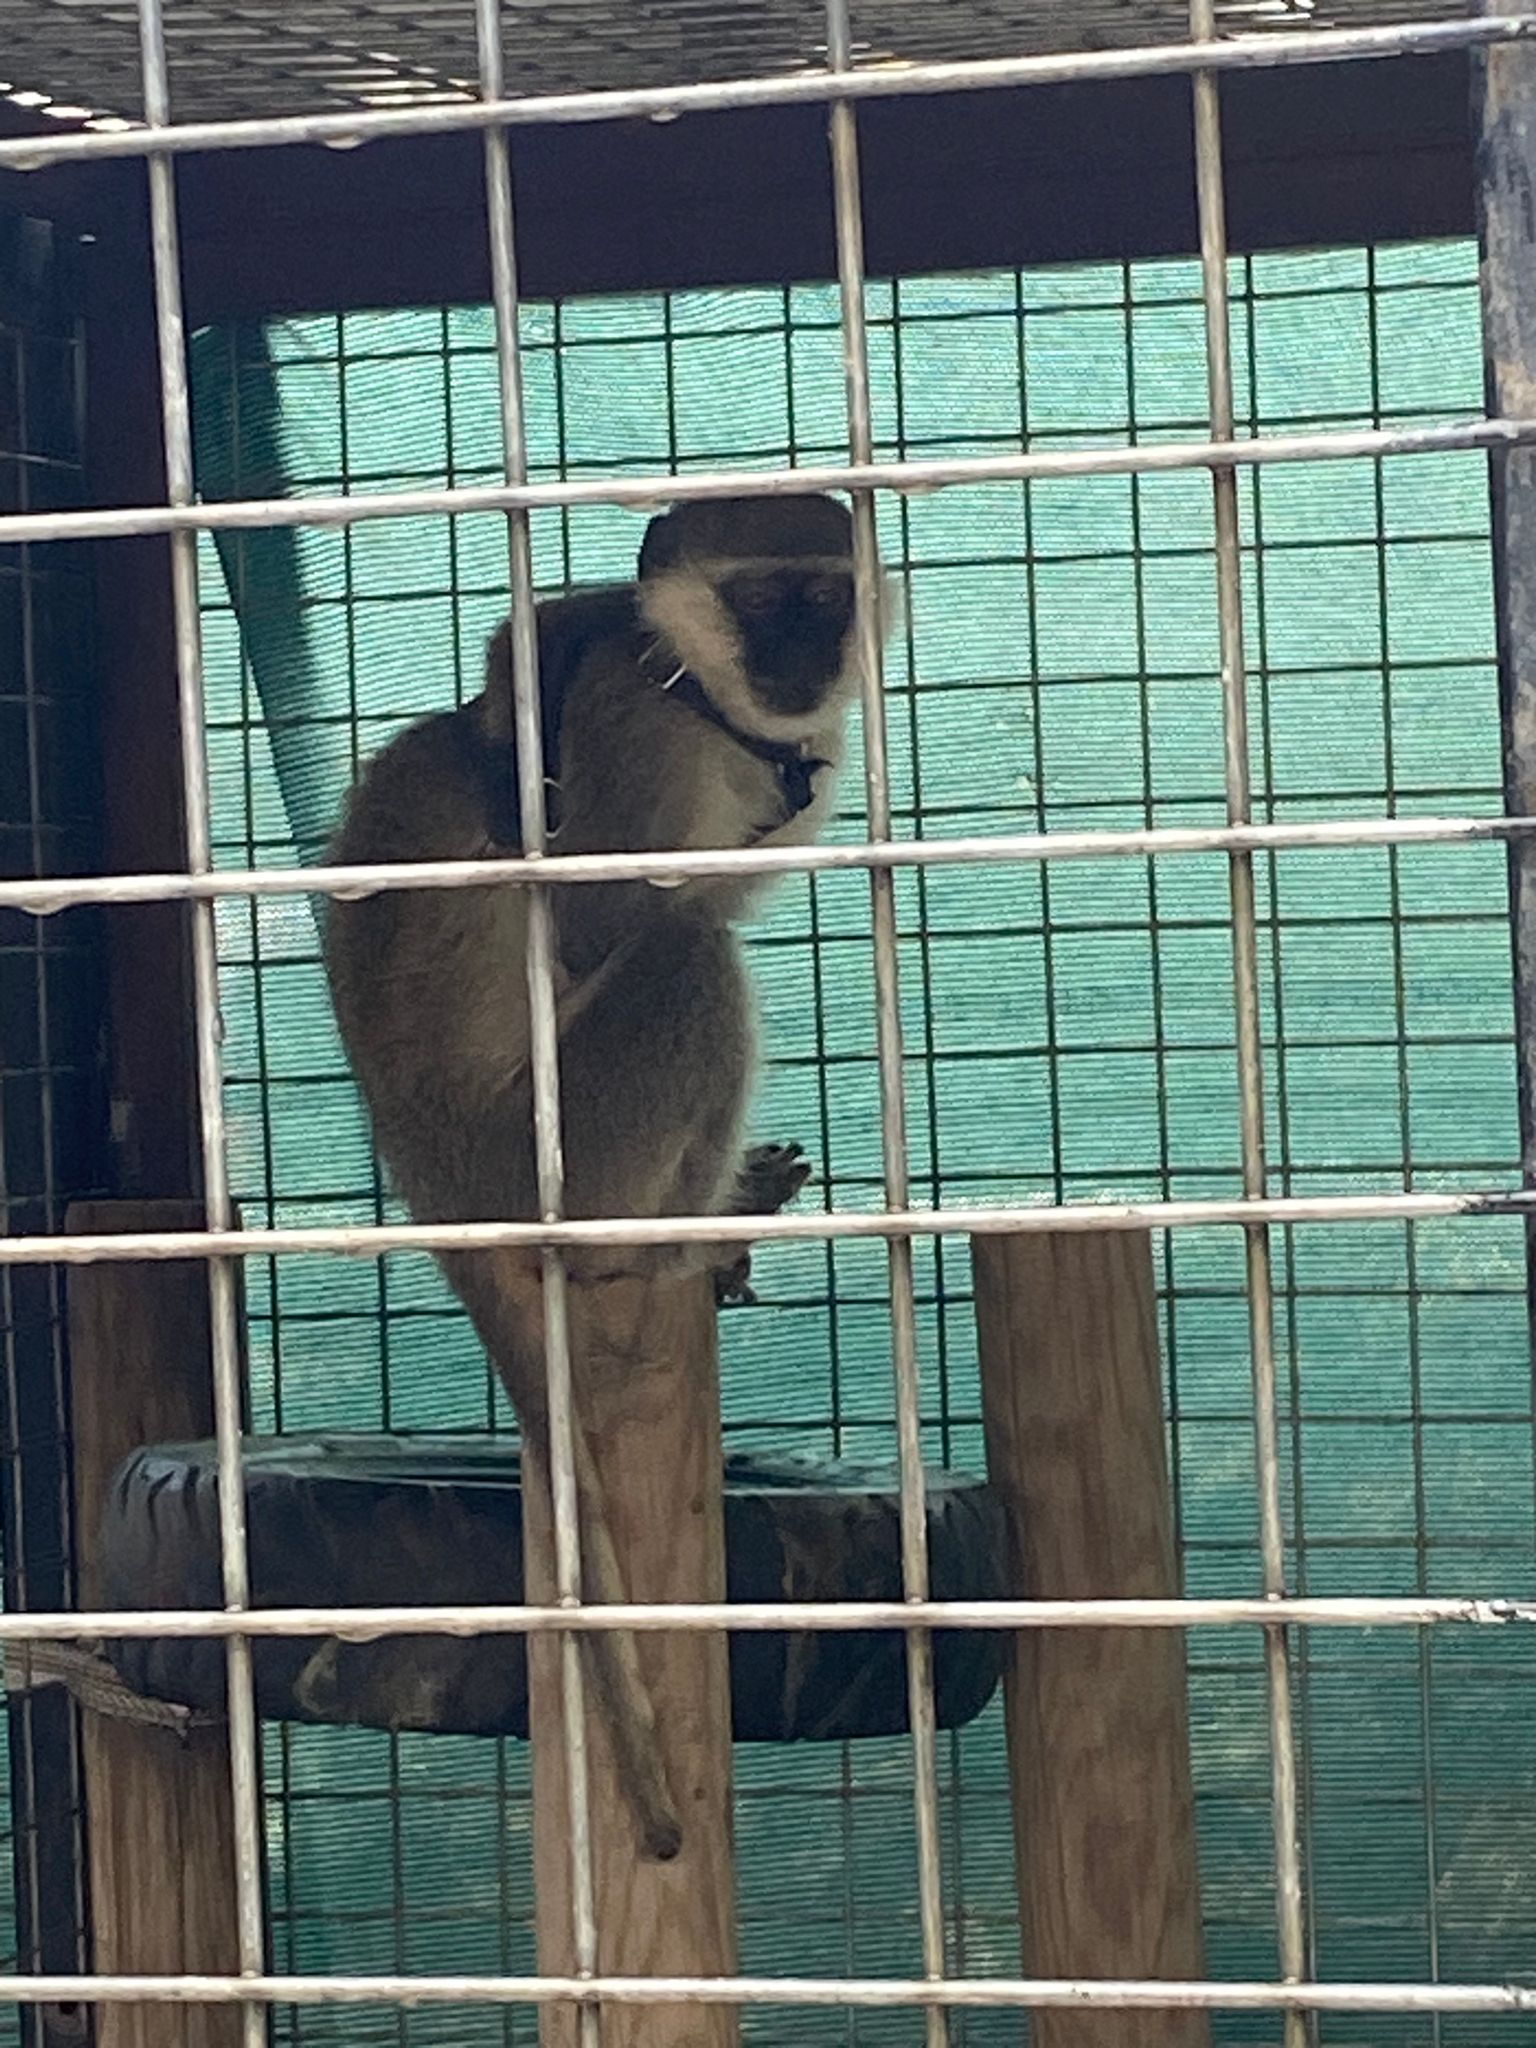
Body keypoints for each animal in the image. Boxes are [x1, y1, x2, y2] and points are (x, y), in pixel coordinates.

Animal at [319, 491, 884, 1859]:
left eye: (826, 595)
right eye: (761, 598)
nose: (803, 661)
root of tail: (441, 1193)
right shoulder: (642, 726)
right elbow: (604, 913)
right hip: (561, 1145)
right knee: (685, 952)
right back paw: (677, 1241)